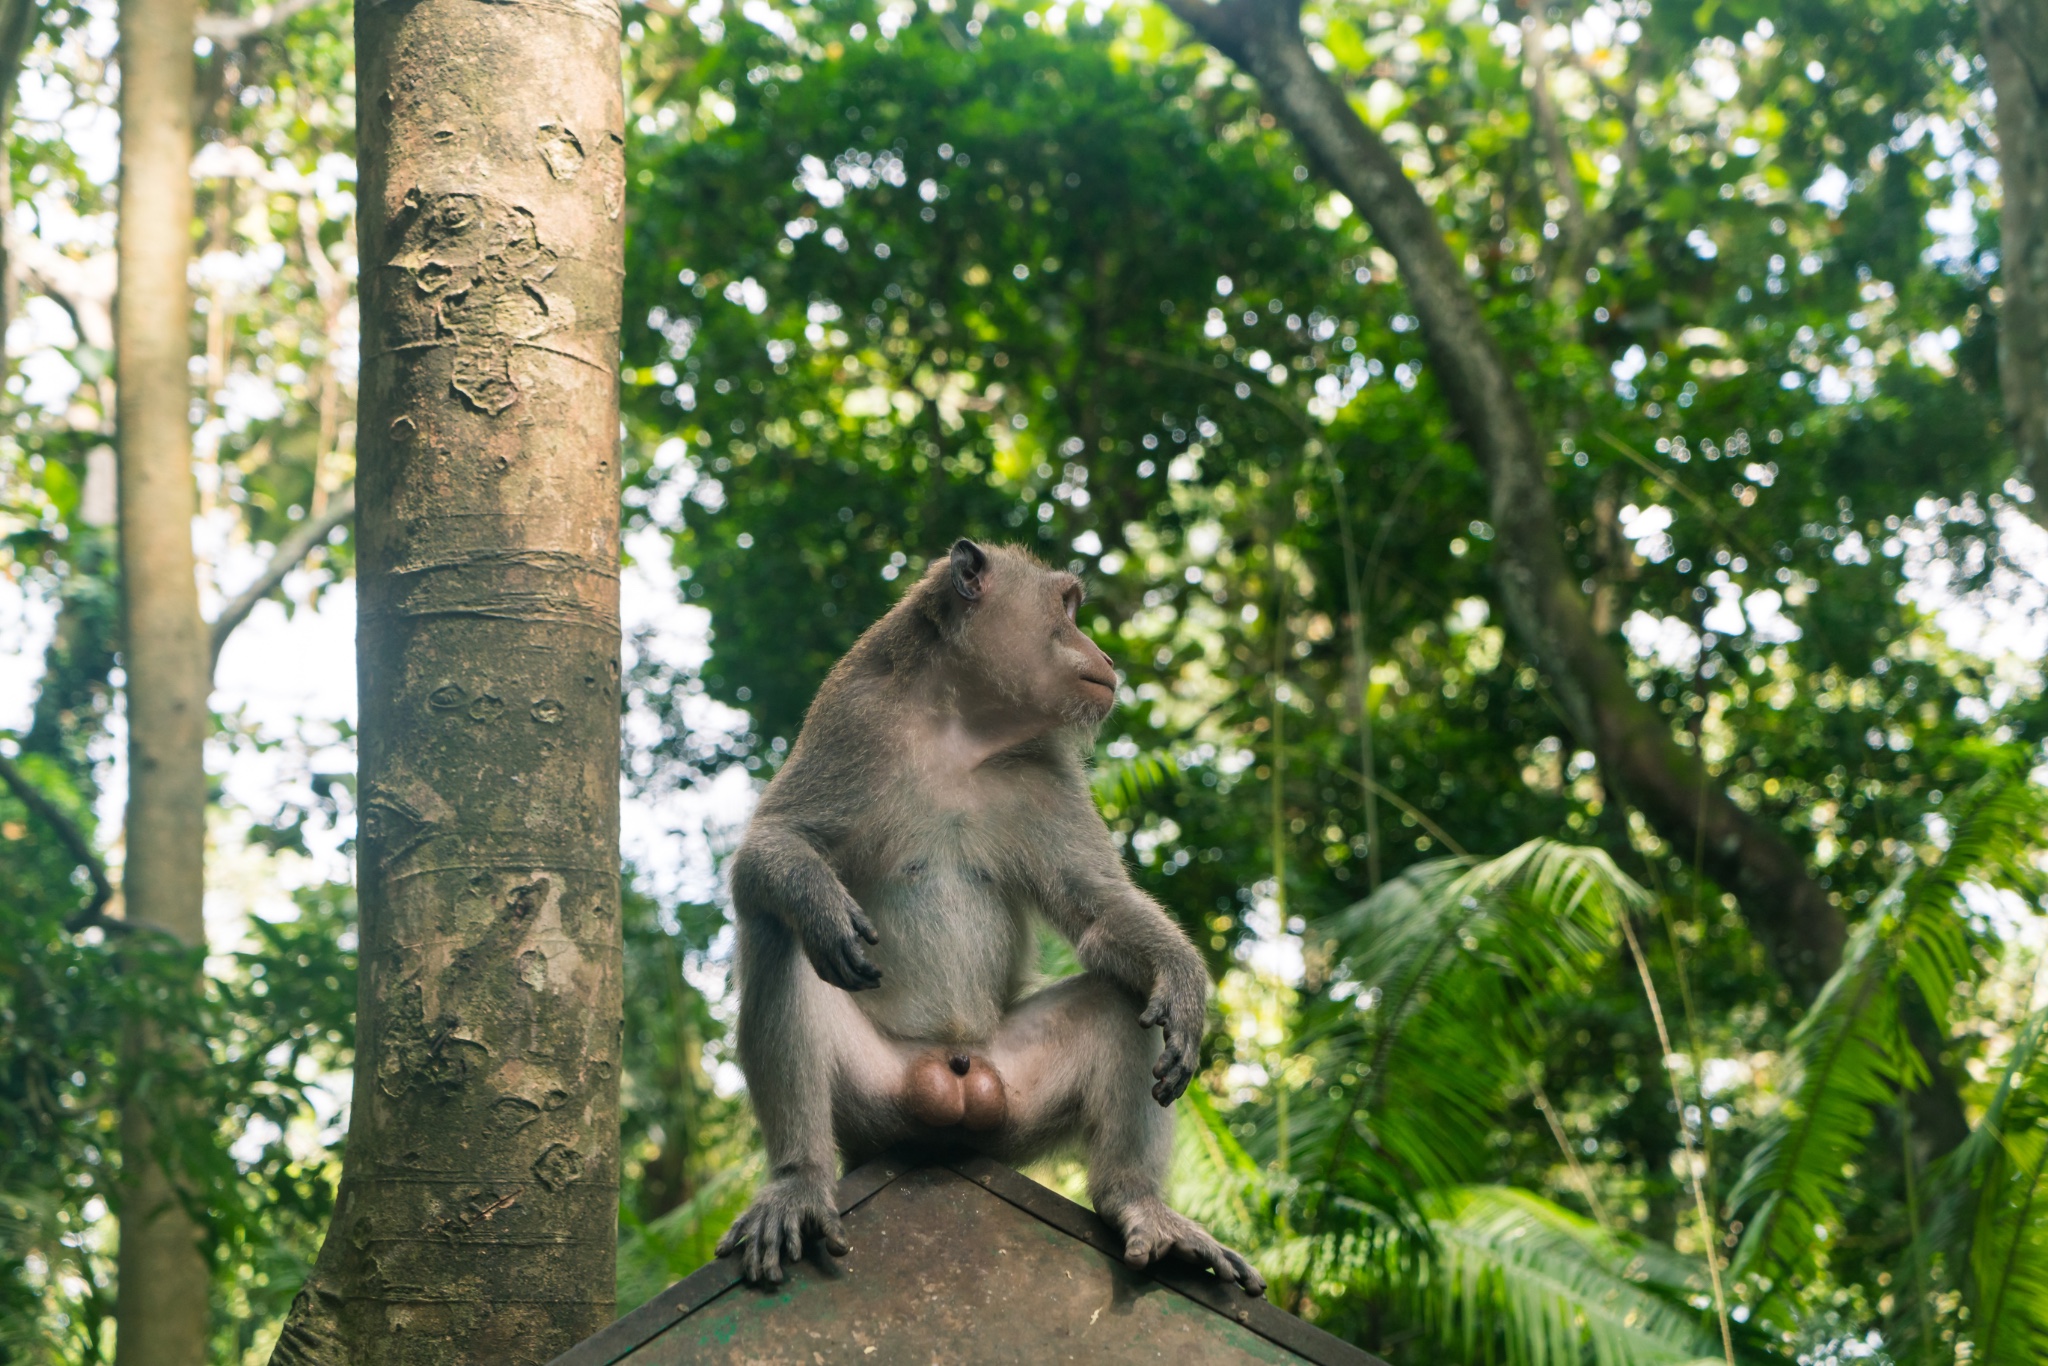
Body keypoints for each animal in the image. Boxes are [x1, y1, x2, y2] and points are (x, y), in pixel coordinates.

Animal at [716, 540, 1261, 1302]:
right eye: (1067, 606)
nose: (1105, 655)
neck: (961, 727)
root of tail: (951, 1074)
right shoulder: (853, 718)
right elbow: (771, 847)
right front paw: (820, 903)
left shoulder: (1046, 770)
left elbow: (1097, 905)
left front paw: (1182, 979)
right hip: (875, 1101)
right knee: (777, 931)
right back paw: (798, 1180)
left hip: (1009, 1097)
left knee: (1125, 992)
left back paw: (1138, 1202)